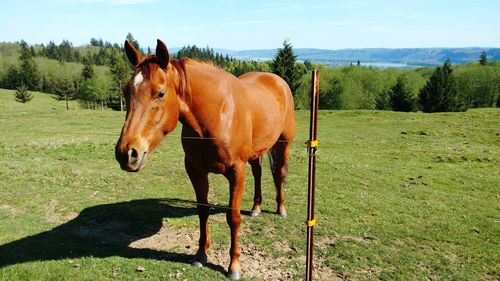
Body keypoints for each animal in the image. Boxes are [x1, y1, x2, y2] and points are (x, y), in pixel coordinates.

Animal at [115, 38, 294, 278]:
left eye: (160, 93)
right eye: (126, 91)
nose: (127, 153)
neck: (218, 114)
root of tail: (277, 81)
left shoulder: (236, 172)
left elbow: (233, 217)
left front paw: (234, 266)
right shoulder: (195, 170)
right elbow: (203, 211)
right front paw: (201, 255)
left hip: (283, 144)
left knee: (279, 174)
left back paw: (281, 209)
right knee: (258, 173)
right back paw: (256, 207)